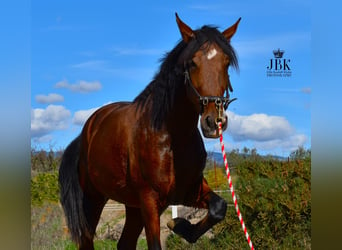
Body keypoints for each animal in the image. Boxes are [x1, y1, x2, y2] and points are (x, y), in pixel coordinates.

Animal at [58, 14, 240, 250]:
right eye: (192, 62)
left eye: (226, 62)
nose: (214, 121)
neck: (172, 139)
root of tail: (85, 134)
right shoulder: (150, 201)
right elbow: (154, 244)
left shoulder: (189, 190)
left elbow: (219, 207)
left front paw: (181, 226)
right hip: (93, 200)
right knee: (86, 240)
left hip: (132, 206)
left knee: (125, 243)